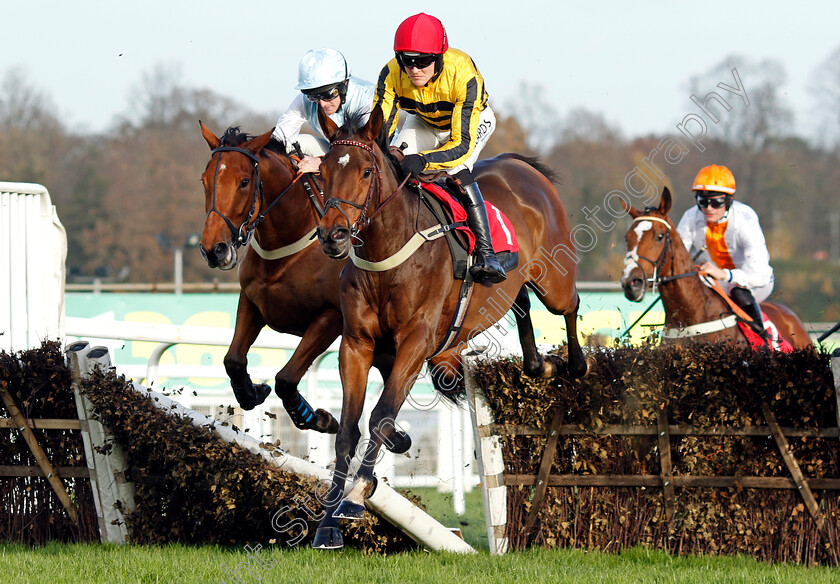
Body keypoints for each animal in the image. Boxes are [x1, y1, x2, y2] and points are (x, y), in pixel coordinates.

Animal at [201, 122, 358, 434]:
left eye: (244, 182)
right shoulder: (252, 301)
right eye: (204, 180)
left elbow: (286, 378)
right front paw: (253, 392)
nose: (214, 249)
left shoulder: (331, 316)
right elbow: (233, 360)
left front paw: (319, 418)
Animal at [308, 107, 592, 548]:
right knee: (522, 304)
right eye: (322, 171)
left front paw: (356, 496)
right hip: (511, 286)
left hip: (554, 279)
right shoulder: (356, 344)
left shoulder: (416, 342)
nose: (333, 235)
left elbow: (380, 415)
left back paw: (575, 364)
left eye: (367, 171)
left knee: (569, 304)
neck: (389, 252)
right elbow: (349, 430)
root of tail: (522, 166)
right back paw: (539, 364)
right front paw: (328, 522)